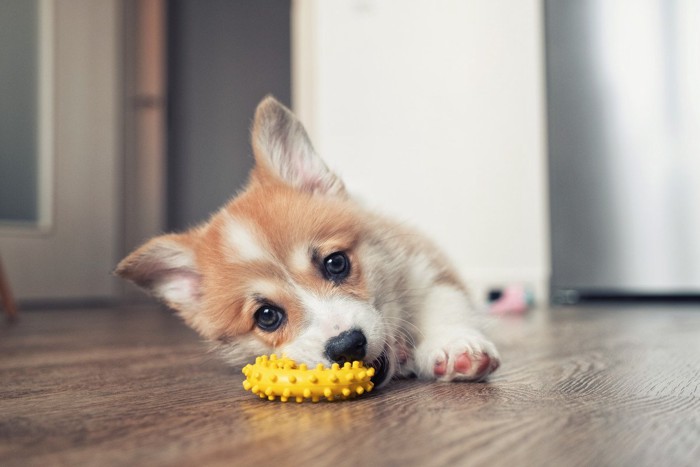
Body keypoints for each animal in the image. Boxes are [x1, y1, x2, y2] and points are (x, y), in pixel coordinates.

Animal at [117, 96, 498, 388]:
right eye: (267, 316)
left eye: (336, 263)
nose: (347, 345)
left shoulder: (423, 267)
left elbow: (444, 304)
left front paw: (457, 348)